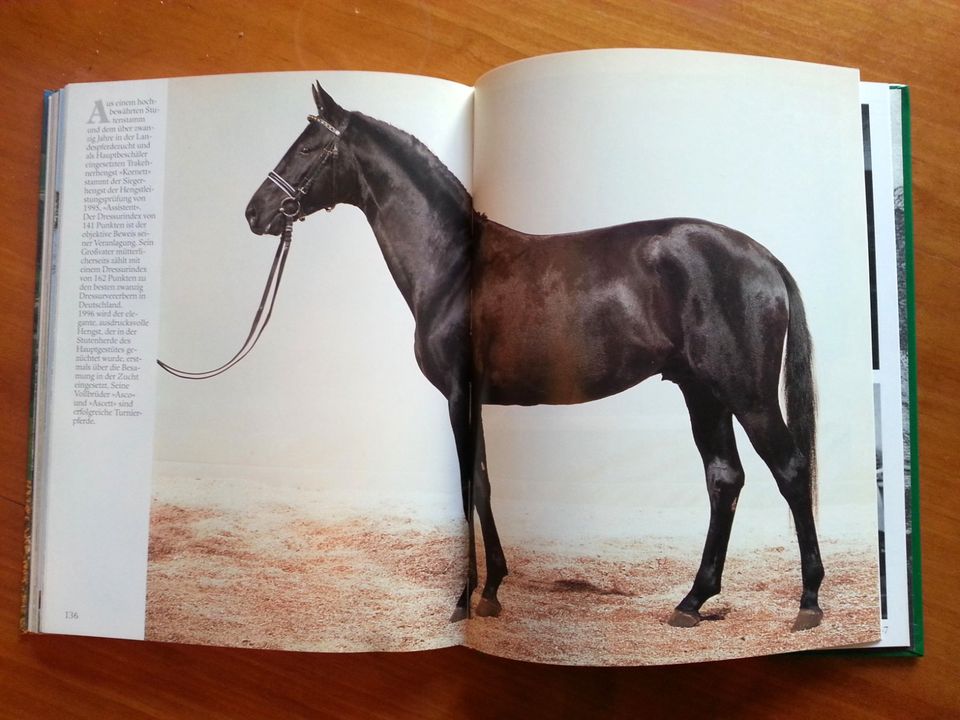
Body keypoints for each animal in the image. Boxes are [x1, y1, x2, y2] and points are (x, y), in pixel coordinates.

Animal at [244, 84, 820, 632]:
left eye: (308, 147)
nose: (254, 212)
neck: (455, 265)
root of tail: (765, 259)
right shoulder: (474, 400)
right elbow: (482, 483)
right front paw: (492, 590)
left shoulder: (457, 395)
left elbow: (468, 483)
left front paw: (465, 599)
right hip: (702, 391)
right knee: (724, 478)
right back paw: (693, 600)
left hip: (746, 392)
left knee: (790, 469)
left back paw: (809, 602)